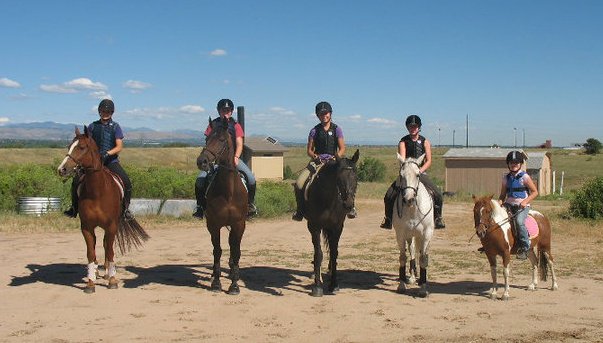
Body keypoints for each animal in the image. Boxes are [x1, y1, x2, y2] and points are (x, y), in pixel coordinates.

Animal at [57, 127, 149, 294]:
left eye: (82, 147)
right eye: (68, 146)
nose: (62, 169)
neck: (97, 191)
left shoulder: (111, 226)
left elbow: (110, 250)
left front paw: (112, 280)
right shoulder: (86, 227)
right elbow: (90, 252)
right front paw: (90, 282)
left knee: (107, 245)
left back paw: (107, 273)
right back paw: (96, 271)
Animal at [197, 117, 247, 296]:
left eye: (221, 140)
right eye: (206, 139)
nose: (202, 161)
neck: (228, 192)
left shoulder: (239, 224)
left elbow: (236, 251)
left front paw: (234, 285)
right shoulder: (214, 224)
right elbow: (217, 250)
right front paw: (217, 283)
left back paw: (233, 272)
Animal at [302, 149, 358, 296]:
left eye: (356, 178)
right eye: (338, 178)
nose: (348, 205)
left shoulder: (337, 227)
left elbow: (334, 253)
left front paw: (334, 284)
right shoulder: (314, 226)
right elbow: (318, 254)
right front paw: (317, 286)